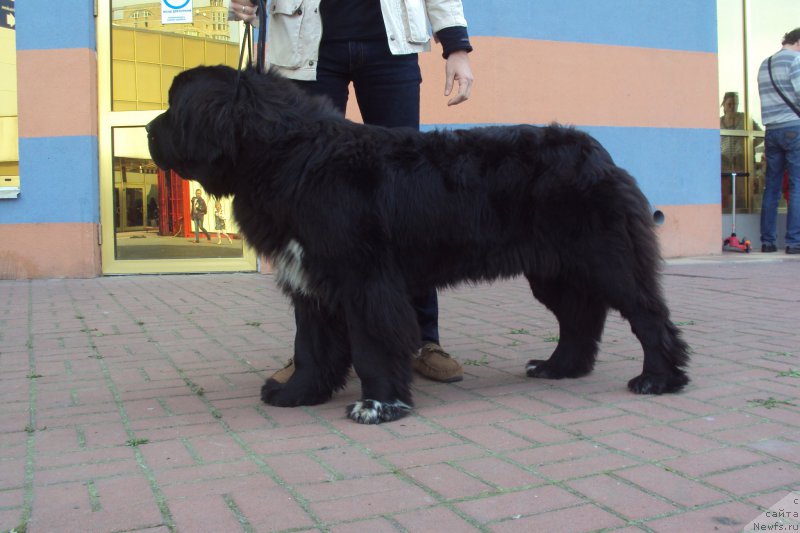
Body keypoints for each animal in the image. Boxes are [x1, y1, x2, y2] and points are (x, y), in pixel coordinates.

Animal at [147, 65, 692, 424]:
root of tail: (597, 151)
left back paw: (658, 379)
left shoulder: (364, 281)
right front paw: (296, 394)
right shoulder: (312, 280)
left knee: (647, 316)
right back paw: (559, 368)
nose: (149, 127)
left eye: (175, 107)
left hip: (608, 258)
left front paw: (377, 405)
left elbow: (370, 345)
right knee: (579, 318)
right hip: (554, 269)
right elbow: (311, 347)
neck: (290, 154)